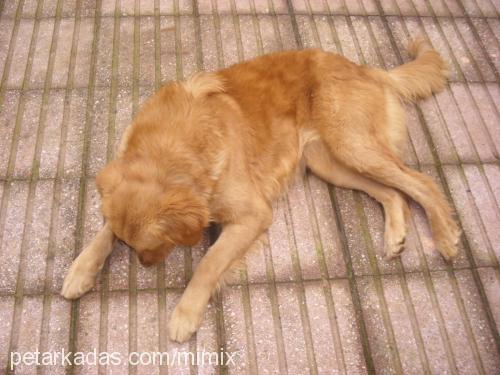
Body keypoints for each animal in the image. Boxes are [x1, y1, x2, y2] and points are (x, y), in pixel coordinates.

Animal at [62, 39, 460, 344]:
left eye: (153, 246)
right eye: (132, 246)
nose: (145, 265)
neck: (174, 145)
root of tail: (366, 68)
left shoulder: (253, 215)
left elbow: (208, 264)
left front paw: (185, 313)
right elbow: (103, 232)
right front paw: (80, 269)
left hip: (351, 145)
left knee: (420, 183)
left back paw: (444, 236)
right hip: (329, 162)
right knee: (394, 193)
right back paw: (395, 235)